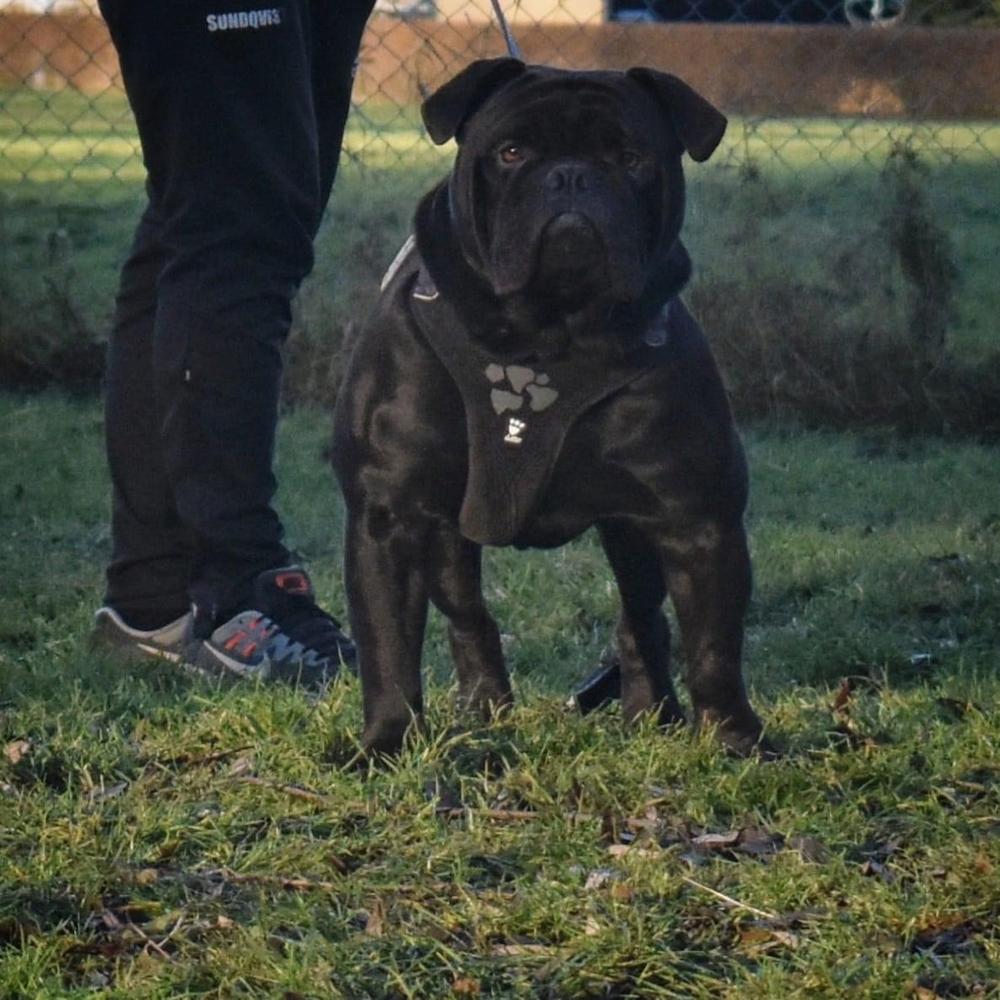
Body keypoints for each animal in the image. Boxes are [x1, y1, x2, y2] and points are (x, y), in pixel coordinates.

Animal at [330, 56, 764, 756]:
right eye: (511, 152)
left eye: (630, 157)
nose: (570, 177)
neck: (548, 335)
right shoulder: (388, 518)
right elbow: (388, 646)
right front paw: (387, 741)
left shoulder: (698, 520)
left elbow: (714, 646)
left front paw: (733, 740)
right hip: (446, 539)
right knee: (469, 615)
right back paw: (485, 706)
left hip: (633, 536)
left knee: (641, 620)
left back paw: (651, 713)